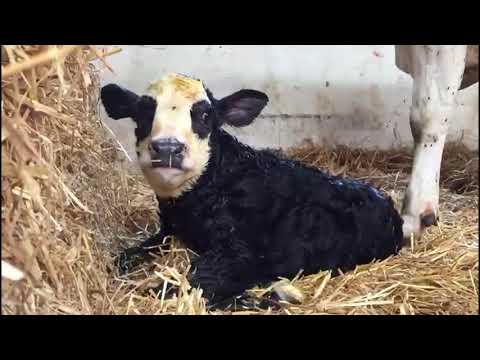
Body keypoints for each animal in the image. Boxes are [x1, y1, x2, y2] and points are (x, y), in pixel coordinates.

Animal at [102, 73, 404, 306]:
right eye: (143, 112)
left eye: (205, 115)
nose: (167, 147)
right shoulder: (167, 231)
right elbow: (123, 258)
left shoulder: (240, 253)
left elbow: (182, 285)